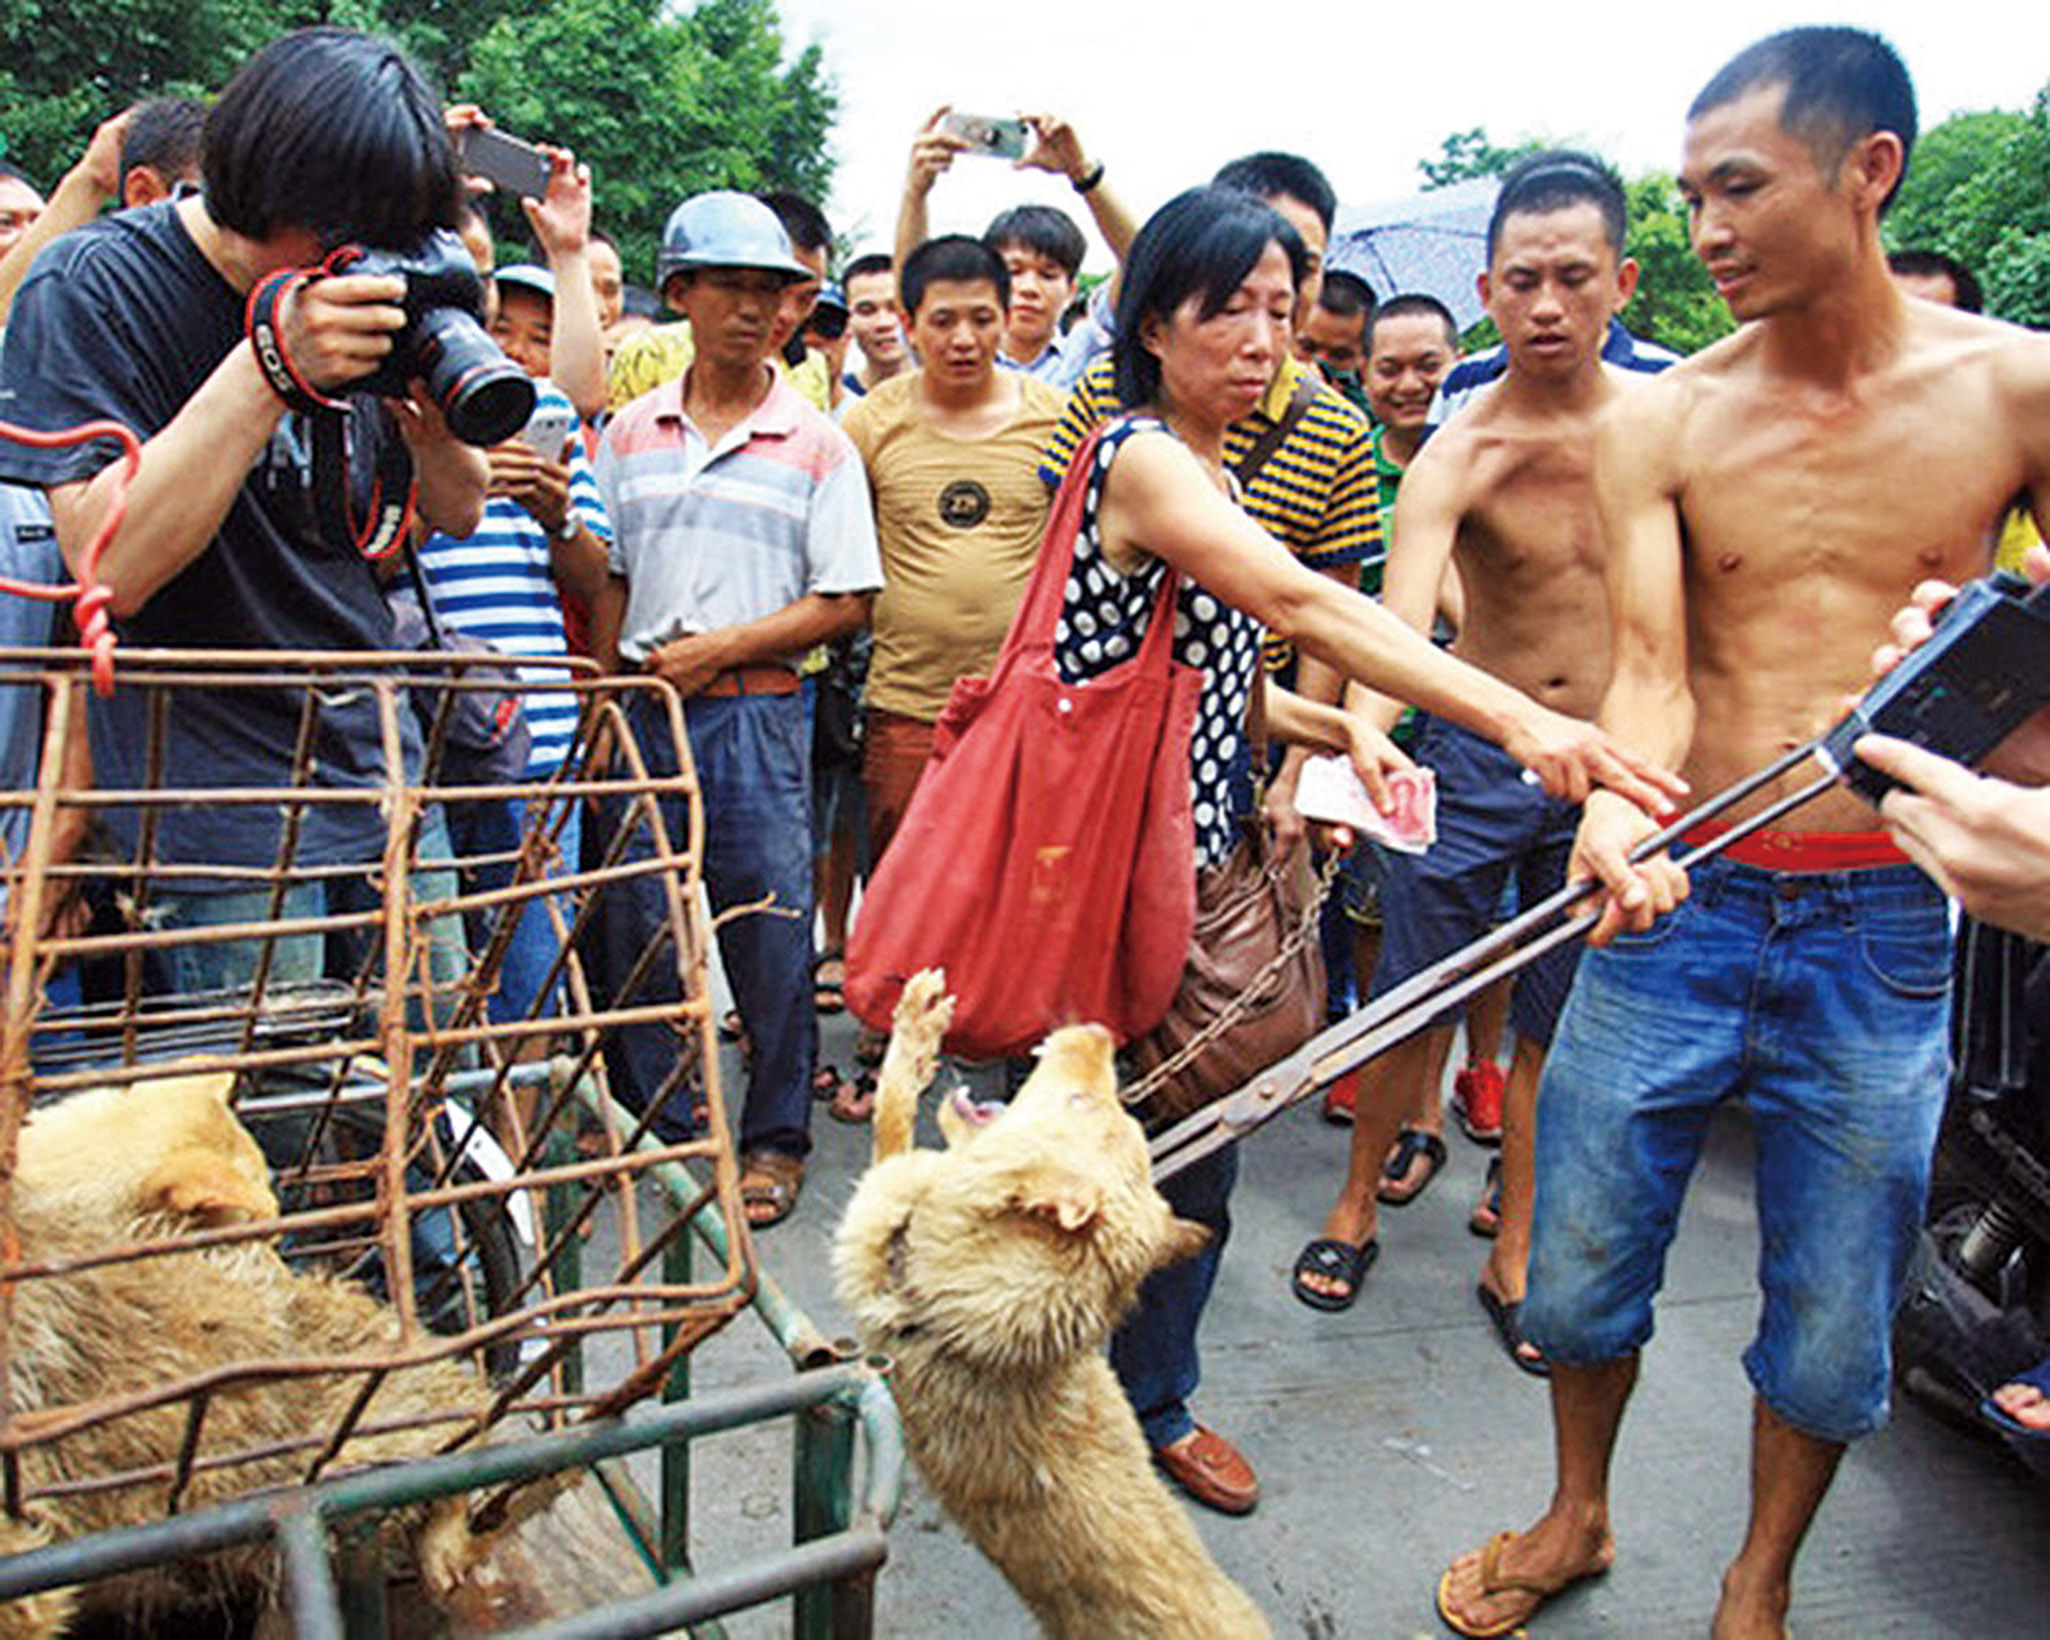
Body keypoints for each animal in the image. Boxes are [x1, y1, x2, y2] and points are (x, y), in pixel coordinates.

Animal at [832, 975, 1262, 1640]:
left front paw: (912, 1025)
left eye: (1082, 1101)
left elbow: (891, 1108)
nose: (1105, 1029)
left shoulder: (887, 1197)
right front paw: (923, 1020)